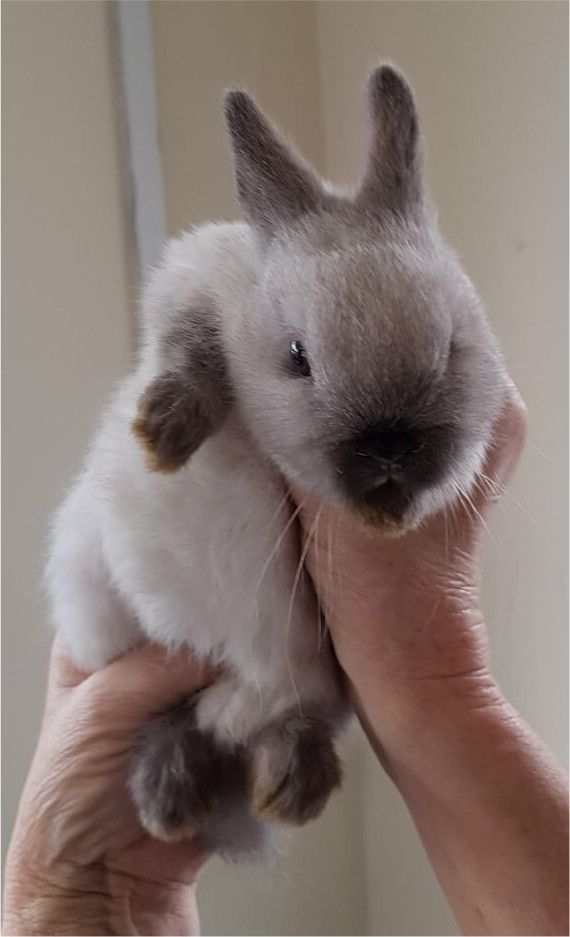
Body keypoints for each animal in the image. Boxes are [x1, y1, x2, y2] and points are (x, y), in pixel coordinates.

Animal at [45, 65, 505, 858]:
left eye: (452, 346)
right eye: (297, 357)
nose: (388, 444)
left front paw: (388, 513)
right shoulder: (192, 286)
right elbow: (190, 351)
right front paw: (162, 438)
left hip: (300, 677)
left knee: (284, 718)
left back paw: (291, 785)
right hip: (101, 614)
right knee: (170, 722)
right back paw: (171, 800)